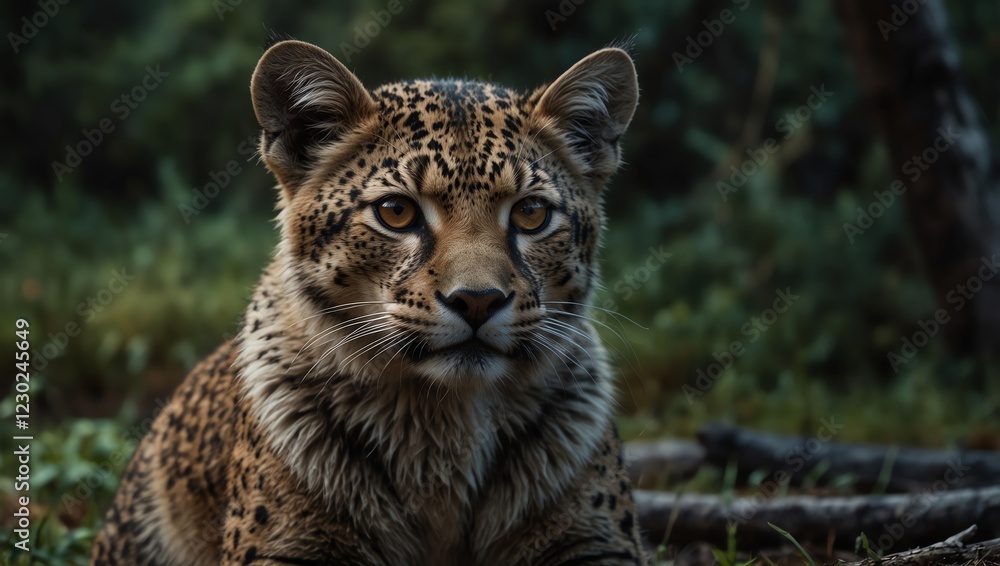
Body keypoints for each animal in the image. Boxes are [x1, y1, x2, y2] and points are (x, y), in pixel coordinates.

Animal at [91, 37, 645, 565]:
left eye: (531, 213)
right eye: (396, 212)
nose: (478, 301)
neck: (443, 429)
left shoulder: (597, 541)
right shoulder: (278, 547)